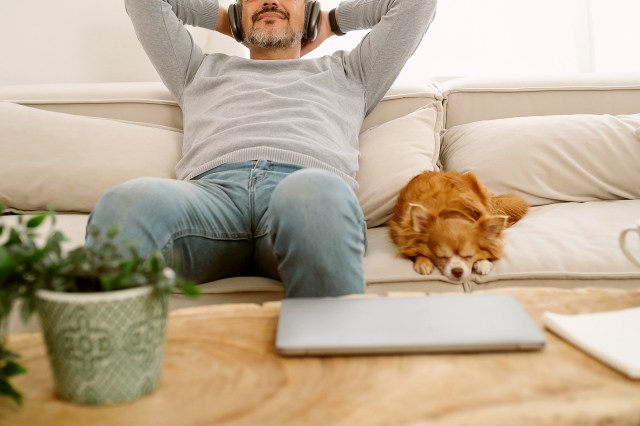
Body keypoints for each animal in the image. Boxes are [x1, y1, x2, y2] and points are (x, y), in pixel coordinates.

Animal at [388, 171, 528, 282]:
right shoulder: (403, 233)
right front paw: (423, 261)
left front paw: (483, 262)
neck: (450, 213)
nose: (457, 271)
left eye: (469, 256)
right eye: (441, 257)